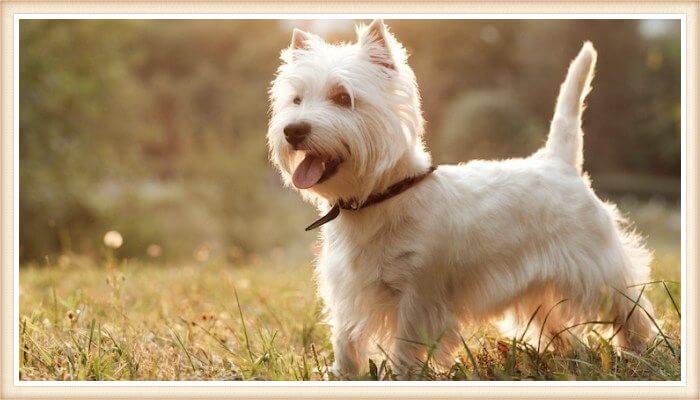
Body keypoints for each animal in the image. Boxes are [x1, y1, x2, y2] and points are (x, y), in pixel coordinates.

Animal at [266, 19, 652, 378]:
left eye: (343, 97)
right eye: (296, 99)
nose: (293, 130)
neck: (378, 198)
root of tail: (559, 161)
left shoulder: (417, 292)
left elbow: (405, 344)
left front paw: (403, 375)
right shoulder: (348, 291)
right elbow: (346, 341)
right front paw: (342, 375)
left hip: (598, 265)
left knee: (630, 306)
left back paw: (640, 352)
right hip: (540, 287)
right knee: (557, 324)